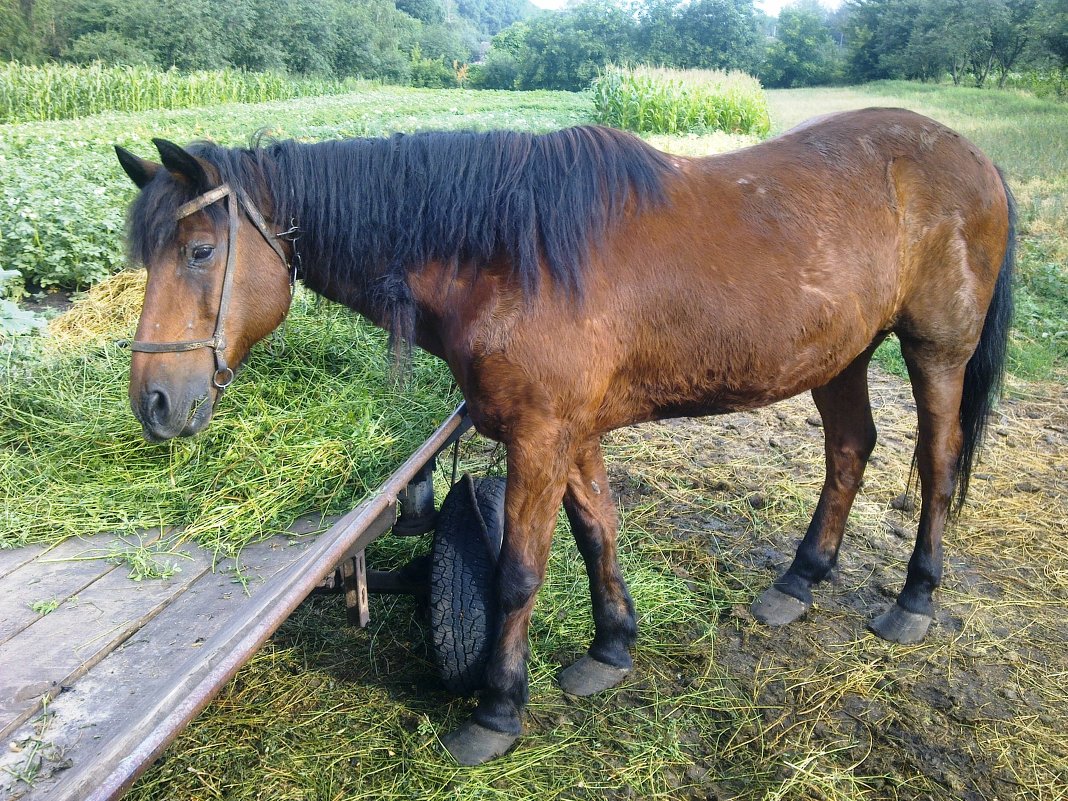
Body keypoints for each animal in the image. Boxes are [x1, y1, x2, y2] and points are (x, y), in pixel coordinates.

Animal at [112, 106, 1012, 764]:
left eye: (200, 249)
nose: (154, 402)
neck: (507, 255)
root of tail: (972, 156)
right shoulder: (573, 434)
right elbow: (596, 533)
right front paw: (611, 648)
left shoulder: (540, 438)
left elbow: (518, 574)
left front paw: (498, 709)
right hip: (844, 352)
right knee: (849, 450)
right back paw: (799, 580)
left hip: (937, 351)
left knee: (935, 466)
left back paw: (914, 599)